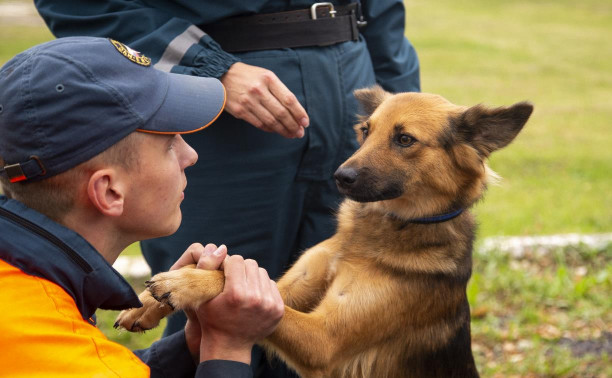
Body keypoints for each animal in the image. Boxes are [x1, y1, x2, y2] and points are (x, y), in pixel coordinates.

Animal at [117, 87, 532, 376]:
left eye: (404, 139)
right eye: (365, 131)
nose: (340, 176)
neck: (378, 233)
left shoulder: (325, 341)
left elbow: (225, 281)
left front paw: (182, 284)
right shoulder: (289, 286)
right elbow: (225, 270)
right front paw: (148, 302)